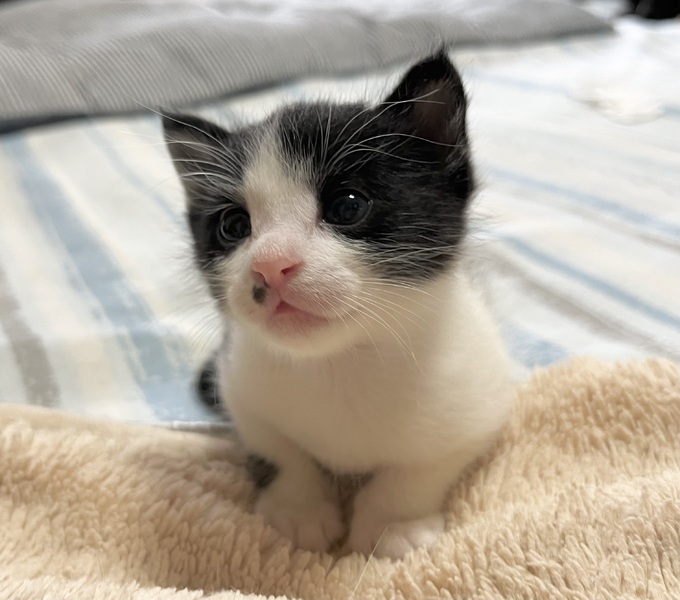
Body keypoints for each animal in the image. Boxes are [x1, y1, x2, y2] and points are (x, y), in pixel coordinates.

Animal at [163, 52, 513, 559]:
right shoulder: (242, 388)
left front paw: (393, 522)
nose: (270, 265)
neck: (339, 362)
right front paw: (300, 509)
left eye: (348, 206)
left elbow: (423, 465)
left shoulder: (480, 401)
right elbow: (280, 451)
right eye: (233, 226)